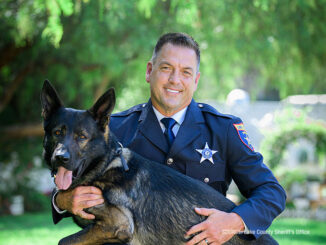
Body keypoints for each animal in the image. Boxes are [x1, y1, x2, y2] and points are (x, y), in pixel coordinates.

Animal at [39, 81, 276, 245]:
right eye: (57, 133)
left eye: (82, 137)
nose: (60, 157)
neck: (105, 165)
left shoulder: (118, 224)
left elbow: (63, 241)